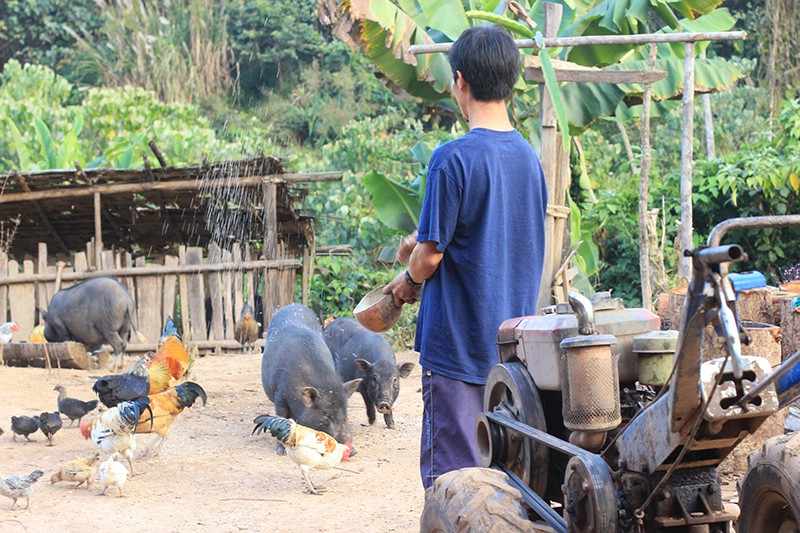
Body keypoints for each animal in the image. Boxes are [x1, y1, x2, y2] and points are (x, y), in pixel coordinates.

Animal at [260, 306, 360, 450]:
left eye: (345, 411)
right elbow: (281, 416)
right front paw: (280, 450)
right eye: (326, 414)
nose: (352, 450)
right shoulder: (279, 395)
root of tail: (293, 305)